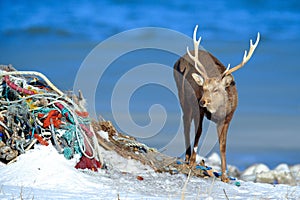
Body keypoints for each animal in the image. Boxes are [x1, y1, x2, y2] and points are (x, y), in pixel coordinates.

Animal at [173, 24, 260, 181]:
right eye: (203, 88)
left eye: (216, 89)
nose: (202, 101)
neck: (217, 111)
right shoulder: (200, 111)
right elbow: (199, 132)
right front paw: (193, 162)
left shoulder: (228, 118)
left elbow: (223, 145)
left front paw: (225, 176)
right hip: (183, 97)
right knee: (186, 123)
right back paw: (187, 157)